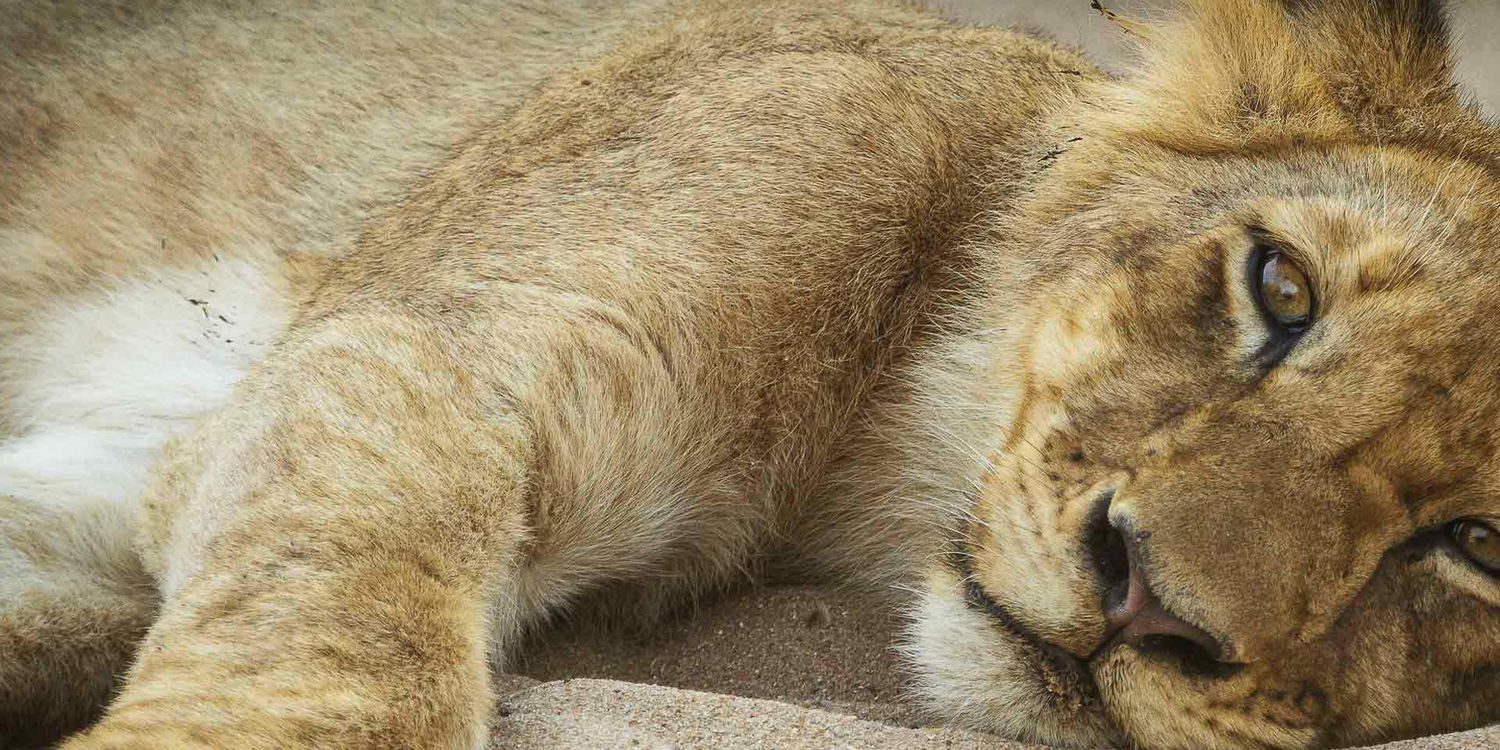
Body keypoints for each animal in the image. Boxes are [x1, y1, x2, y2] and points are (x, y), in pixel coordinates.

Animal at [1, 0, 1496, 748]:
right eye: (1281, 289)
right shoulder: (428, 351)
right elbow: (344, 628)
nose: (1145, 602)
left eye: (1479, 545)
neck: (856, 448)